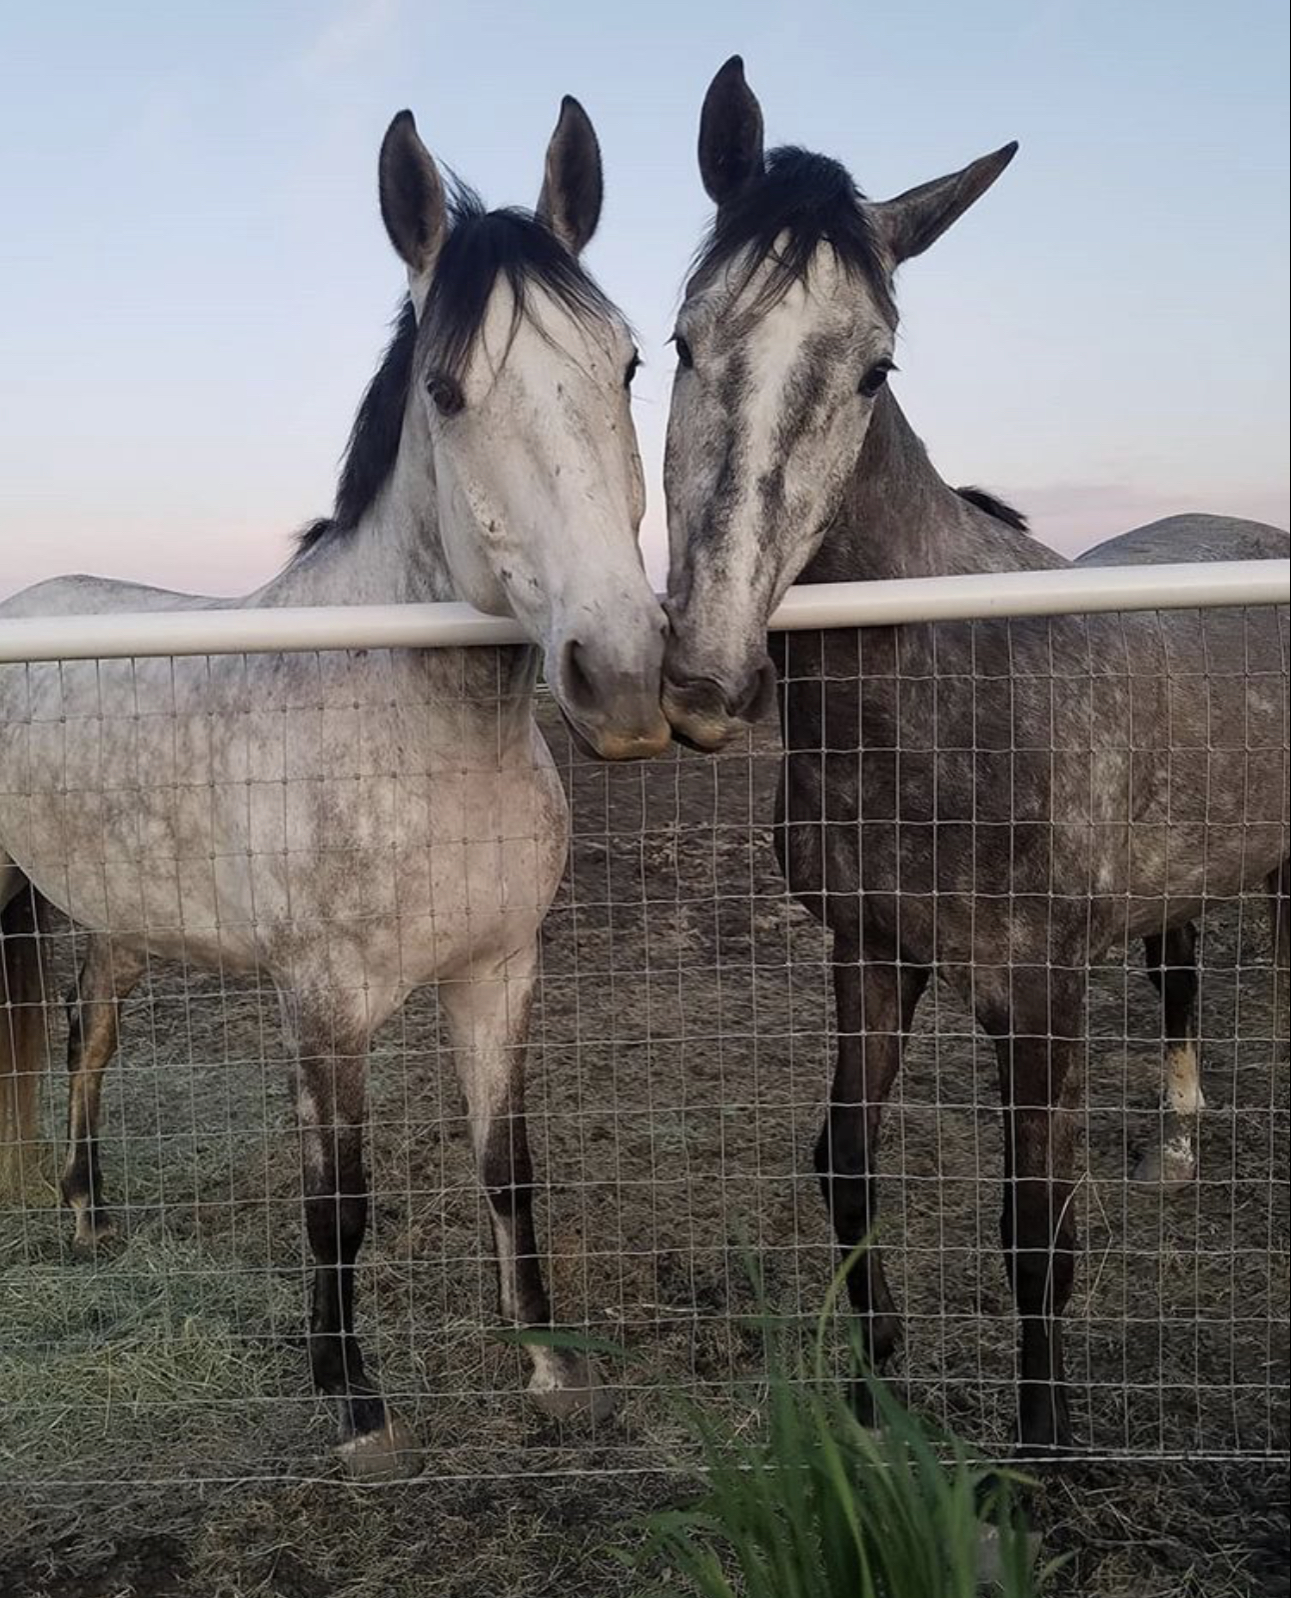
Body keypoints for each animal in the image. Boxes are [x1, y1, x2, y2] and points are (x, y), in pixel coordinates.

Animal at [7, 96, 674, 1470]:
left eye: (629, 364)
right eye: (447, 389)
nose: (626, 678)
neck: (426, 729)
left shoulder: (498, 974)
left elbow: (506, 1165)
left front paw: (549, 1364)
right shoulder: (324, 1006)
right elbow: (340, 1197)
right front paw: (355, 1399)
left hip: (119, 921)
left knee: (91, 1033)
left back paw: (88, 1211)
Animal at [661, 56, 1284, 1457]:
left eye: (873, 367)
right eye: (679, 341)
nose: (705, 677)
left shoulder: (1035, 991)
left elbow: (1033, 1230)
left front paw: (1036, 1454)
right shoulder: (871, 950)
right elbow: (845, 1166)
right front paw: (873, 1395)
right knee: (1177, 968)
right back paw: (1174, 1138)